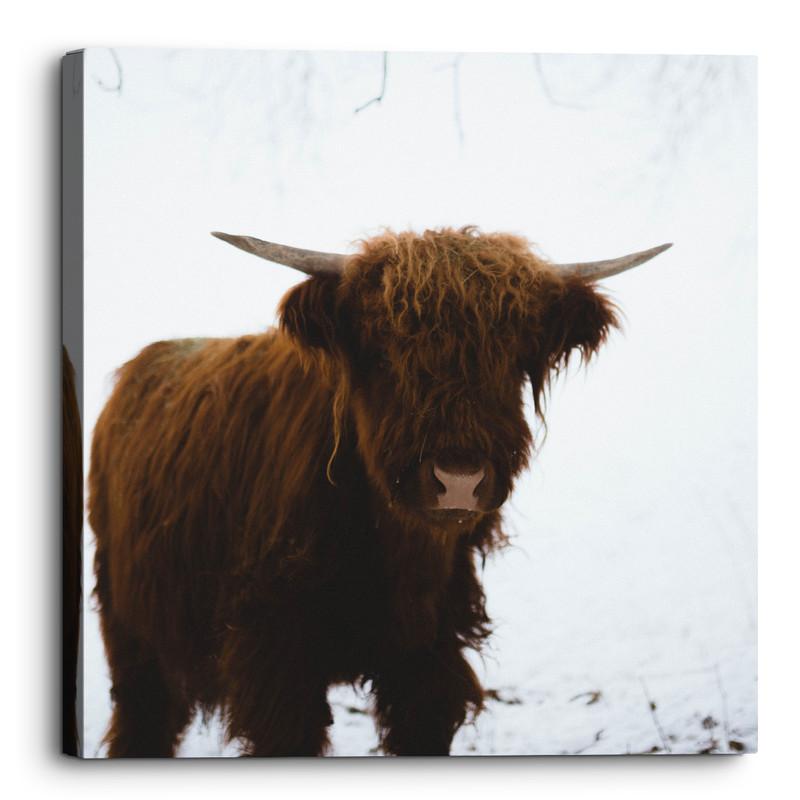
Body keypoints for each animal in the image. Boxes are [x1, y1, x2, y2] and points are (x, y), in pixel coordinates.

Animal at [89, 226, 670, 757]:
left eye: (509, 358)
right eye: (387, 355)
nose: (458, 479)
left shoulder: (430, 664)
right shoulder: (276, 663)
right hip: (131, 629)